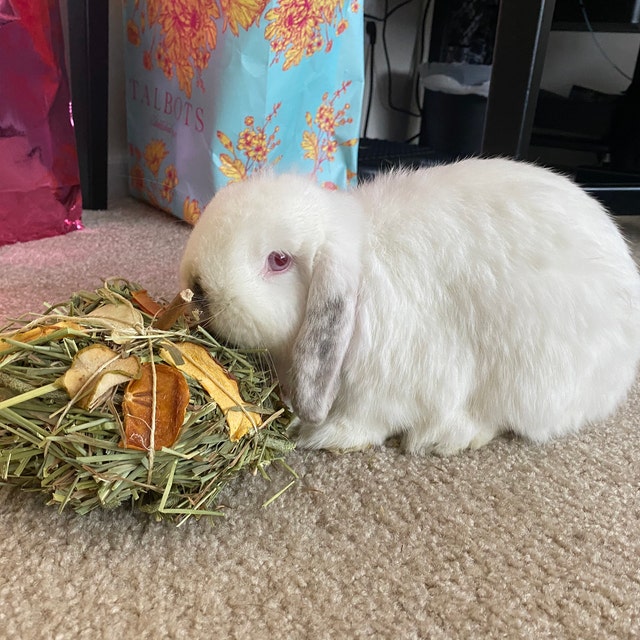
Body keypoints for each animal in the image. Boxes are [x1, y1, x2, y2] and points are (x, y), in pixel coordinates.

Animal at [180, 158, 640, 455]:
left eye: (278, 260)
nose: (198, 288)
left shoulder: (387, 387)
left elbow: (365, 423)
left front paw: (316, 435)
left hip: (533, 381)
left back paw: (446, 438)